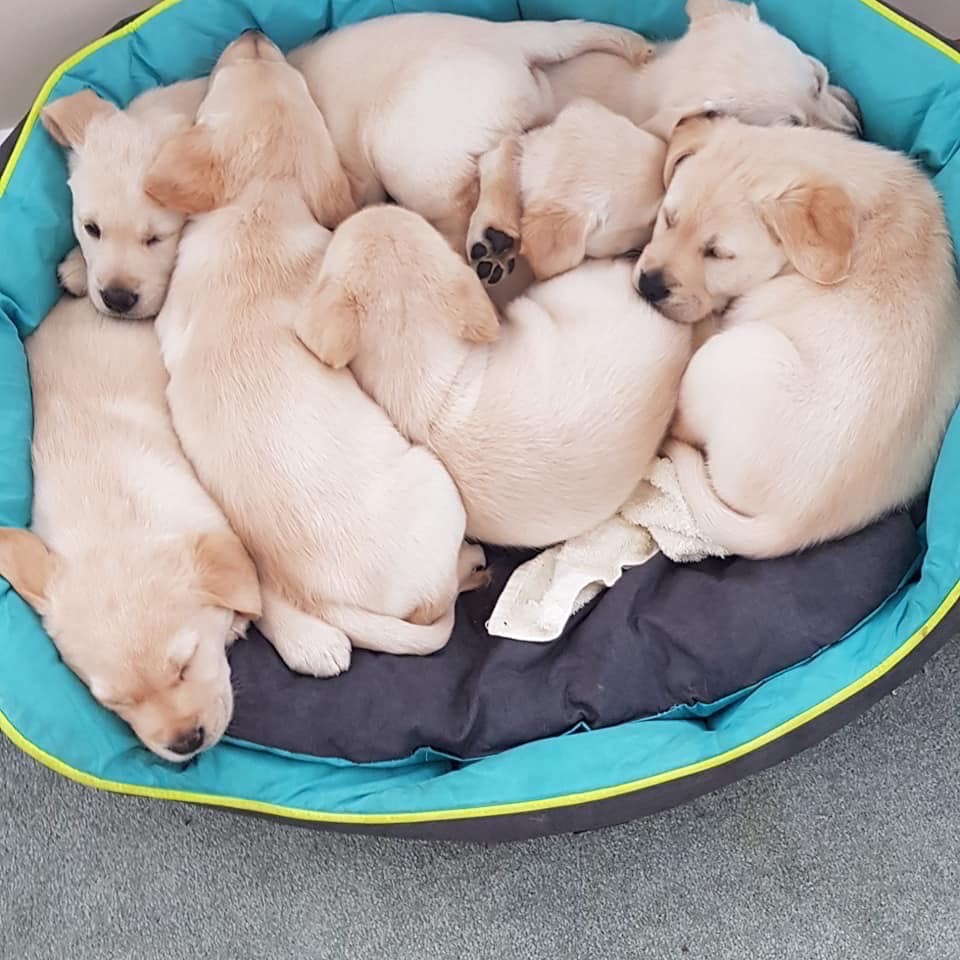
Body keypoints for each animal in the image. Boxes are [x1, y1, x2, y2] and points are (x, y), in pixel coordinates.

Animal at [143, 31, 480, 676]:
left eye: (281, 71)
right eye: (233, 73)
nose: (252, 32)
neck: (260, 205)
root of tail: (327, 596)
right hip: (437, 482)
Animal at [632, 115, 960, 560]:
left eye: (719, 254)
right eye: (668, 217)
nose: (649, 286)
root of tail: (790, 525)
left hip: (738, 353)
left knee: (681, 424)